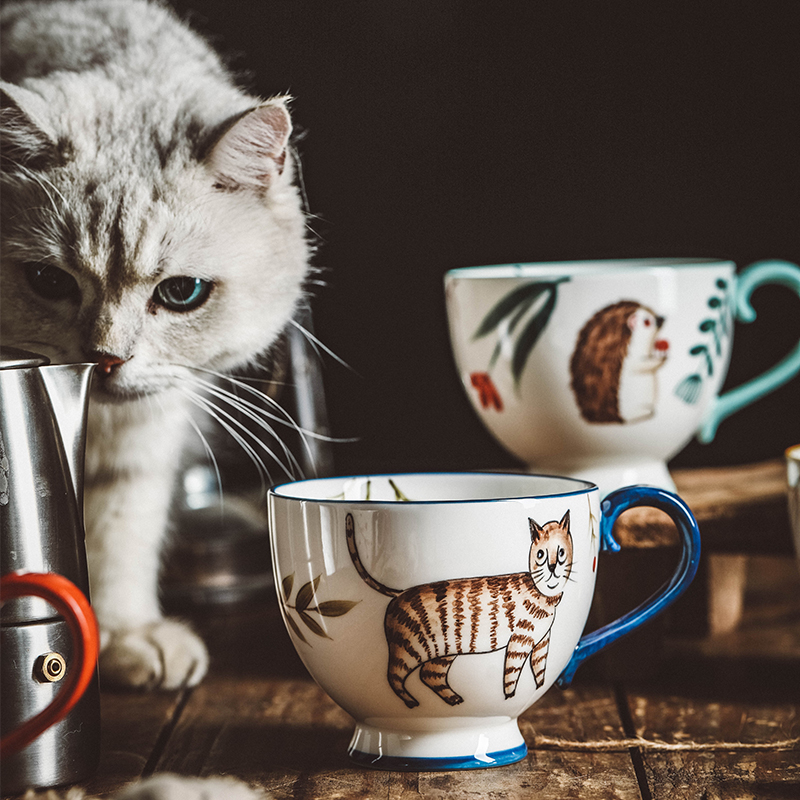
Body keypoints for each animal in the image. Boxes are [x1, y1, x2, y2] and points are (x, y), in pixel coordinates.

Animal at [0, 0, 310, 692]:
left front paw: (124, 633)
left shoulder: (146, 431)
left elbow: (121, 530)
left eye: (182, 292)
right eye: (48, 281)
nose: (106, 357)